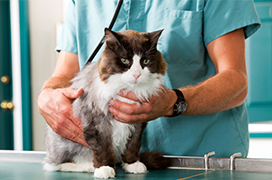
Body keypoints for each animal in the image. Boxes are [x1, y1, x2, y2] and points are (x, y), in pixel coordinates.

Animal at [43, 28, 168, 179]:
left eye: (145, 61)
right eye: (124, 60)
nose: (136, 74)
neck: (126, 89)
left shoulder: (137, 121)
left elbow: (132, 145)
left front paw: (132, 164)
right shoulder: (97, 122)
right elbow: (103, 148)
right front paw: (104, 168)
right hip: (64, 145)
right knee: (55, 165)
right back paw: (88, 166)